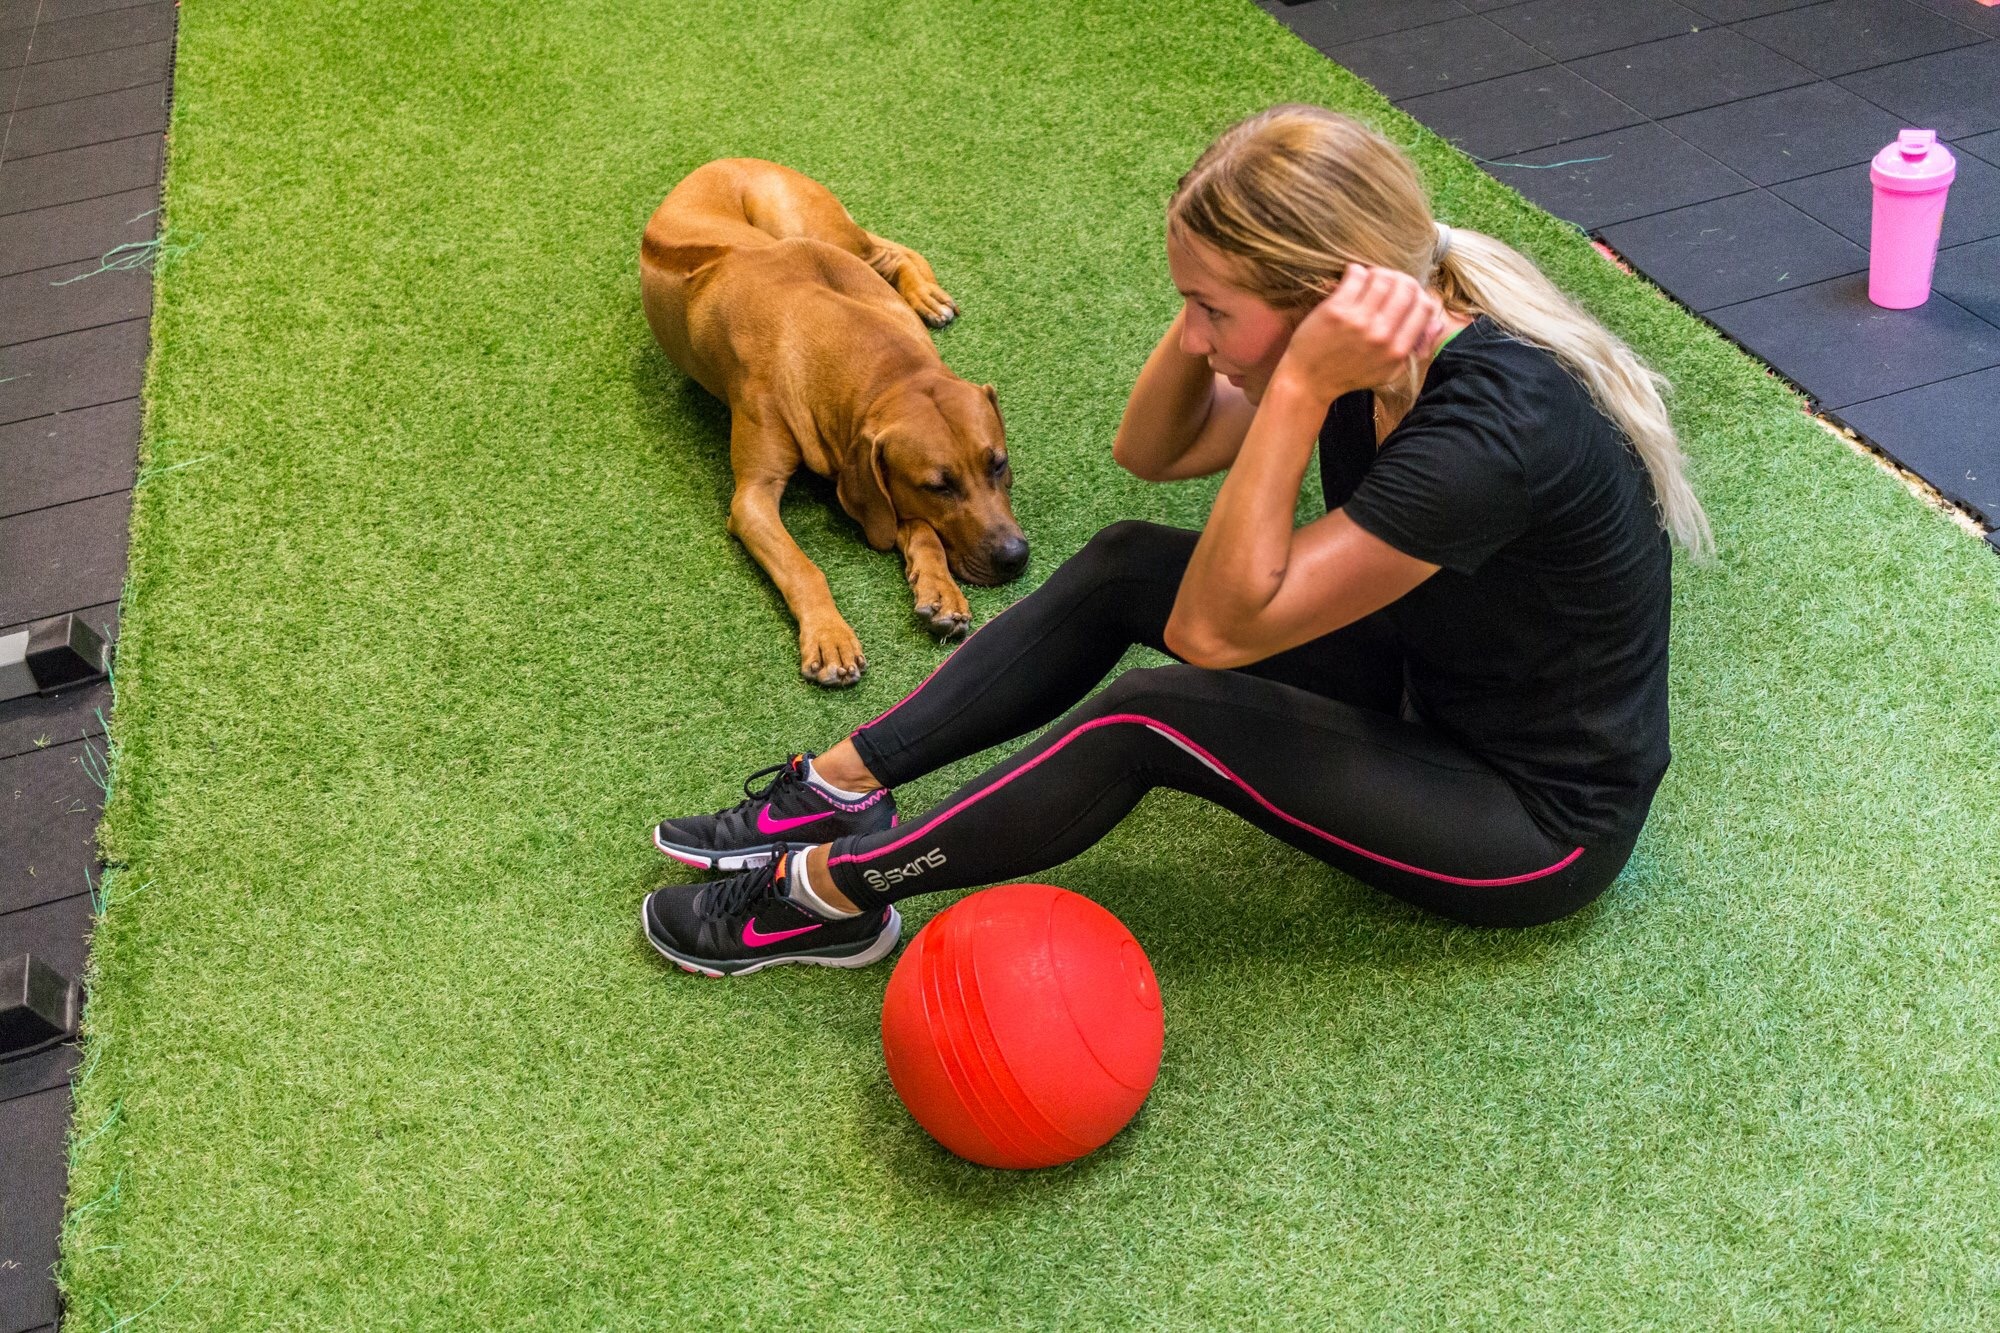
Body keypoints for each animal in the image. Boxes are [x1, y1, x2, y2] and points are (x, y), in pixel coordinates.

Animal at [639, 158, 1028, 687]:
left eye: (998, 464)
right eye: (938, 487)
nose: (1015, 557)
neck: (883, 368)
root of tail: (717, 162)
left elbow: (918, 530)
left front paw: (939, 589)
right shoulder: (756, 498)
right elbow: (806, 566)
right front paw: (831, 638)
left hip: (820, 229)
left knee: (892, 248)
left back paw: (925, 295)